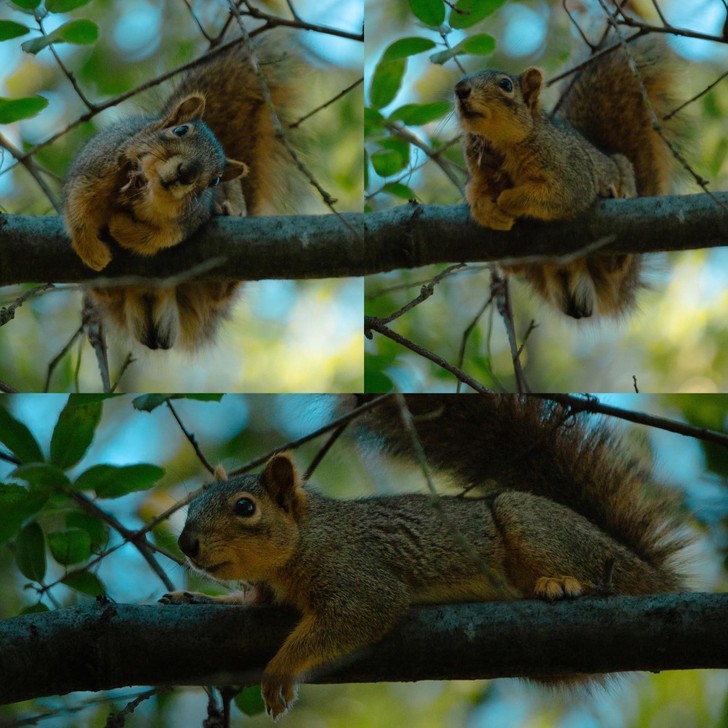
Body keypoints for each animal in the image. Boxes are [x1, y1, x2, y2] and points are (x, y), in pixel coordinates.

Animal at [64, 37, 298, 350]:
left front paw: (122, 227)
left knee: (220, 291)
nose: (188, 172)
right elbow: (78, 205)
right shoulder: (98, 167)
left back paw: (228, 210)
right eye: (180, 130)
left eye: (215, 180)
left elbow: (159, 238)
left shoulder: (187, 221)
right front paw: (91, 249)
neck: (144, 191)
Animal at [159, 392, 688, 716]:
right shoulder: (266, 594)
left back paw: (561, 582)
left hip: (537, 526)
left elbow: (361, 611)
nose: (186, 545)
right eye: (193, 503)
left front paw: (280, 670)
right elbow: (242, 603)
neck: (304, 539)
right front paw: (194, 598)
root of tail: (651, 574)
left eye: (245, 508)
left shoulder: (356, 573)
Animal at [456, 39, 676, 318]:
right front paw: (486, 210)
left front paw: (507, 200)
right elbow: (474, 192)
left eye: (506, 85)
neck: (500, 145)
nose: (460, 89)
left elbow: (561, 194)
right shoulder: (479, 172)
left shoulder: (571, 172)